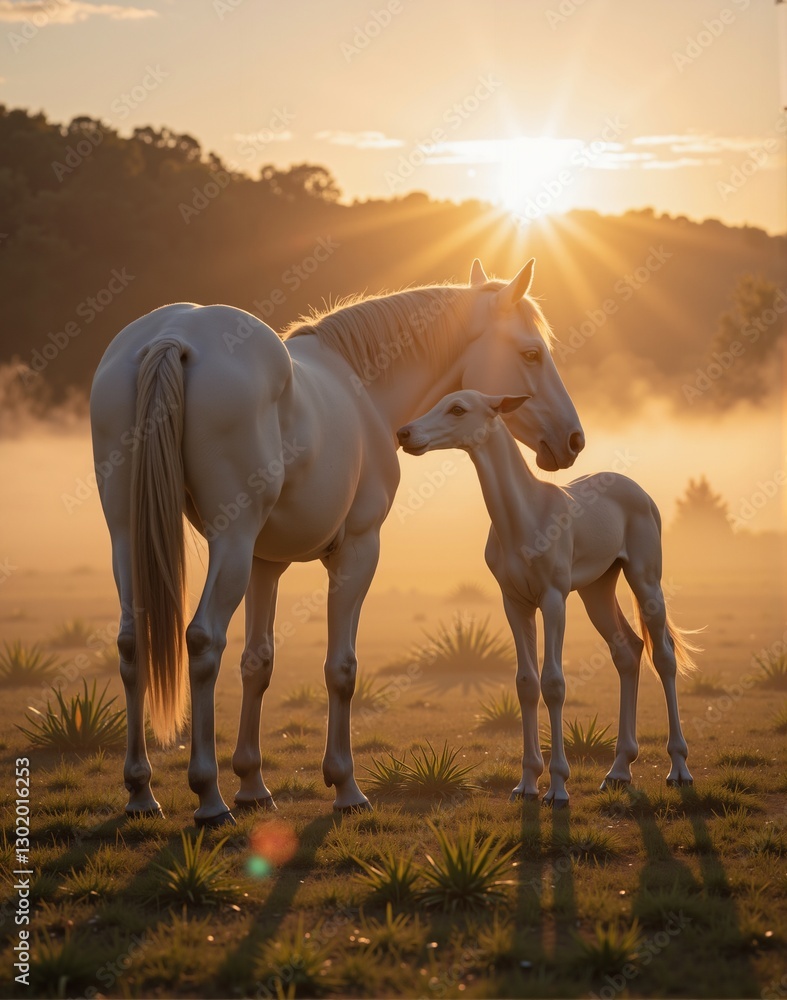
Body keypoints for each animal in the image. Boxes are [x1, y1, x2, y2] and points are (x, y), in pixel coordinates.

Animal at [90, 257, 584, 826]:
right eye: (531, 352)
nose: (573, 439)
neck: (364, 390)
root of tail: (173, 335)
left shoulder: (265, 562)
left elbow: (258, 663)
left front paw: (254, 785)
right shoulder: (356, 551)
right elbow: (341, 669)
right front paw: (345, 787)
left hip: (128, 537)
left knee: (132, 643)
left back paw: (140, 791)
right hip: (228, 544)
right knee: (203, 640)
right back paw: (208, 797)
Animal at [397, 389, 697, 807]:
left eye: (458, 409)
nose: (405, 434)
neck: (525, 518)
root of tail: (640, 493)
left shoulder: (554, 600)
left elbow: (553, 683)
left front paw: (557, 789)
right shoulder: (515, 603)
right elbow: (526, 683)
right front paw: (525, 784)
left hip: (645, 580)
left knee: (664, 656)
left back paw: (679, 769)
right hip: (596, 590)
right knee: (629, 650)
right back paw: (618, 771)